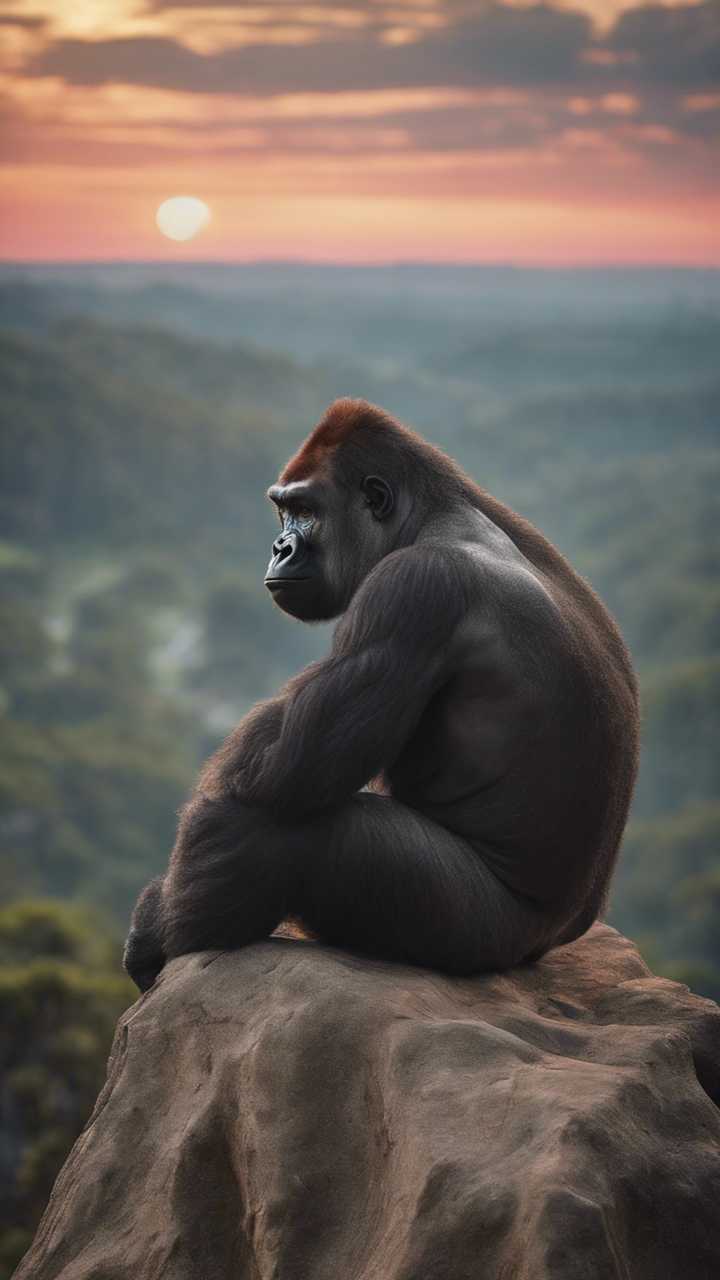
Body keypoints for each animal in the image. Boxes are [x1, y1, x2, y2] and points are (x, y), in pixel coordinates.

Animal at [124, 399, 639, 991]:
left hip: (479, 931)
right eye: (283, 512)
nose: (279, 547)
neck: (431, 518)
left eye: (305, 511)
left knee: (287, 830)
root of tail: (559, 934)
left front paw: (154, 916)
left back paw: (181, 936)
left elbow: (284, 771)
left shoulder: (411, 586)